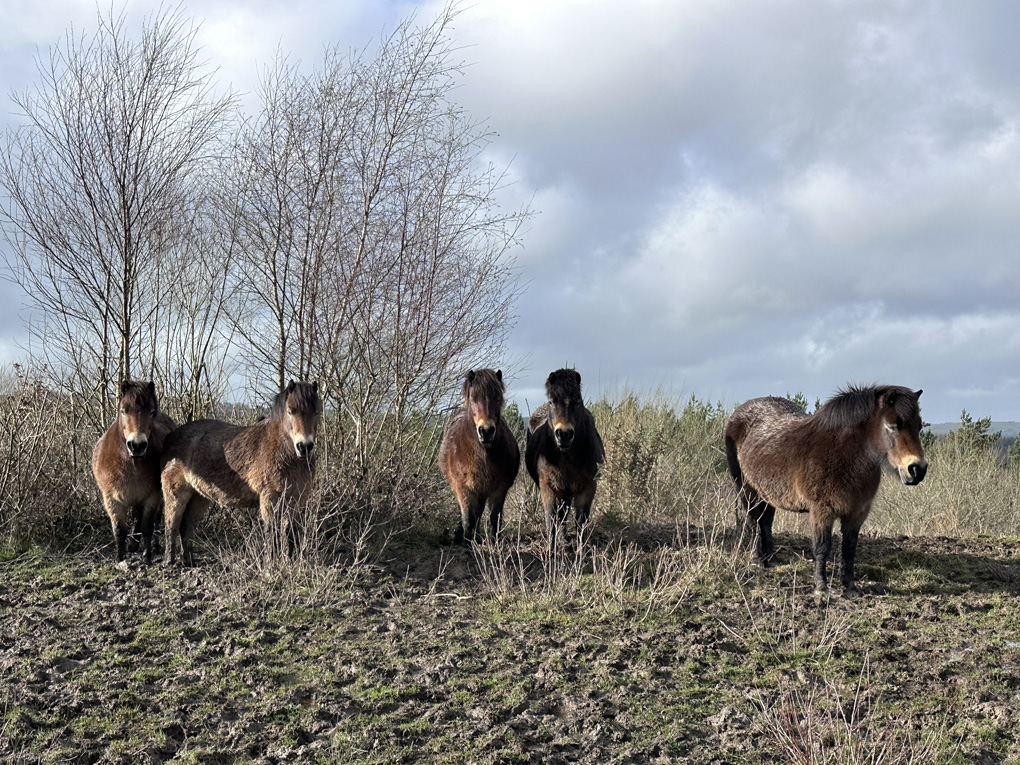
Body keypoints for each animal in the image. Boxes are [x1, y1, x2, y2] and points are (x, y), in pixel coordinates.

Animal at [92, 380, 177, 566]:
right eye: (124, 410)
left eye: (151, 412)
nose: (137, 445)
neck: (131, 463)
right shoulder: (112, 498)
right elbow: (119, 529)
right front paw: (120, 558)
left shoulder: (152, 497)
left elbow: (147, 527)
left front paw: (147, 556)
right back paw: (132, 545)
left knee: (154, 520)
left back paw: (154, 546)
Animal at [160, 380, 320, 566]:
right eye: (290, 410)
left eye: (317, 411)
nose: (304, 447)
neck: (283, 452)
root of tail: (171, 436)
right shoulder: (270, 498)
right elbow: (272, 533)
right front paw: (271, 564)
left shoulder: (298, 499)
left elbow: (292, 533)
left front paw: (292, 562)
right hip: (176, 494)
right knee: (172, 524)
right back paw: (169, 561)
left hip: (199, 496)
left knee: (187, 525)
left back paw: (190, 561)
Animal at [439, 369, 520, 545]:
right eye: (473, 399)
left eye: (498, 398)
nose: (486, 431)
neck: (482, 454)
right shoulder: (463, 487)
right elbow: (468, 518)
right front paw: (467, 545)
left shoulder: (500, 488)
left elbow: (495, 517)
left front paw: (495, 544)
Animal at [525, 369, 605, 553]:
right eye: (552, 401)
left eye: (578, 401)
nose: (564, 434)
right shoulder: (549, 488)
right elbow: (551, 519)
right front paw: (551, 552)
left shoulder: (587, 488)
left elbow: (581, 521)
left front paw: (581, 551)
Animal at [725, 384, 928, 595]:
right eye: (892, 425)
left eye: (919, 426)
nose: (917, 469)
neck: (843, 455)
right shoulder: (822, 511)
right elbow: (822, 547)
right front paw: (821, 587)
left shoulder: (856, 513)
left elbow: (849, 548)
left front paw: (850, 587)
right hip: (746, 489)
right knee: (752, 521)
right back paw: (757, 560)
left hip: (768, 494)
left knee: (765, 522)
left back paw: (771, 560)